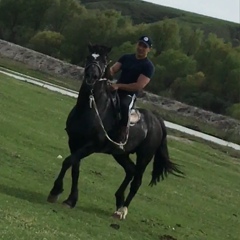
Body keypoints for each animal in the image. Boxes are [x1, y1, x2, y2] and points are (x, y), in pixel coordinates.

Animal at [47, 43, 184, 219]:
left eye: (104, 60)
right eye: (89, 57)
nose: (91, 76)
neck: (91, 108)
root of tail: (157, 120)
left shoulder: (91, 146)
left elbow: (67, 161)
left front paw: (55, 191)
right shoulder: (74, 142)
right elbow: (75, 168)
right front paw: (70, 200)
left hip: (144, 156)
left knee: (137, 181)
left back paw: (122, 210)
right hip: (120, 154)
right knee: (130, 171)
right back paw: (119, 200)